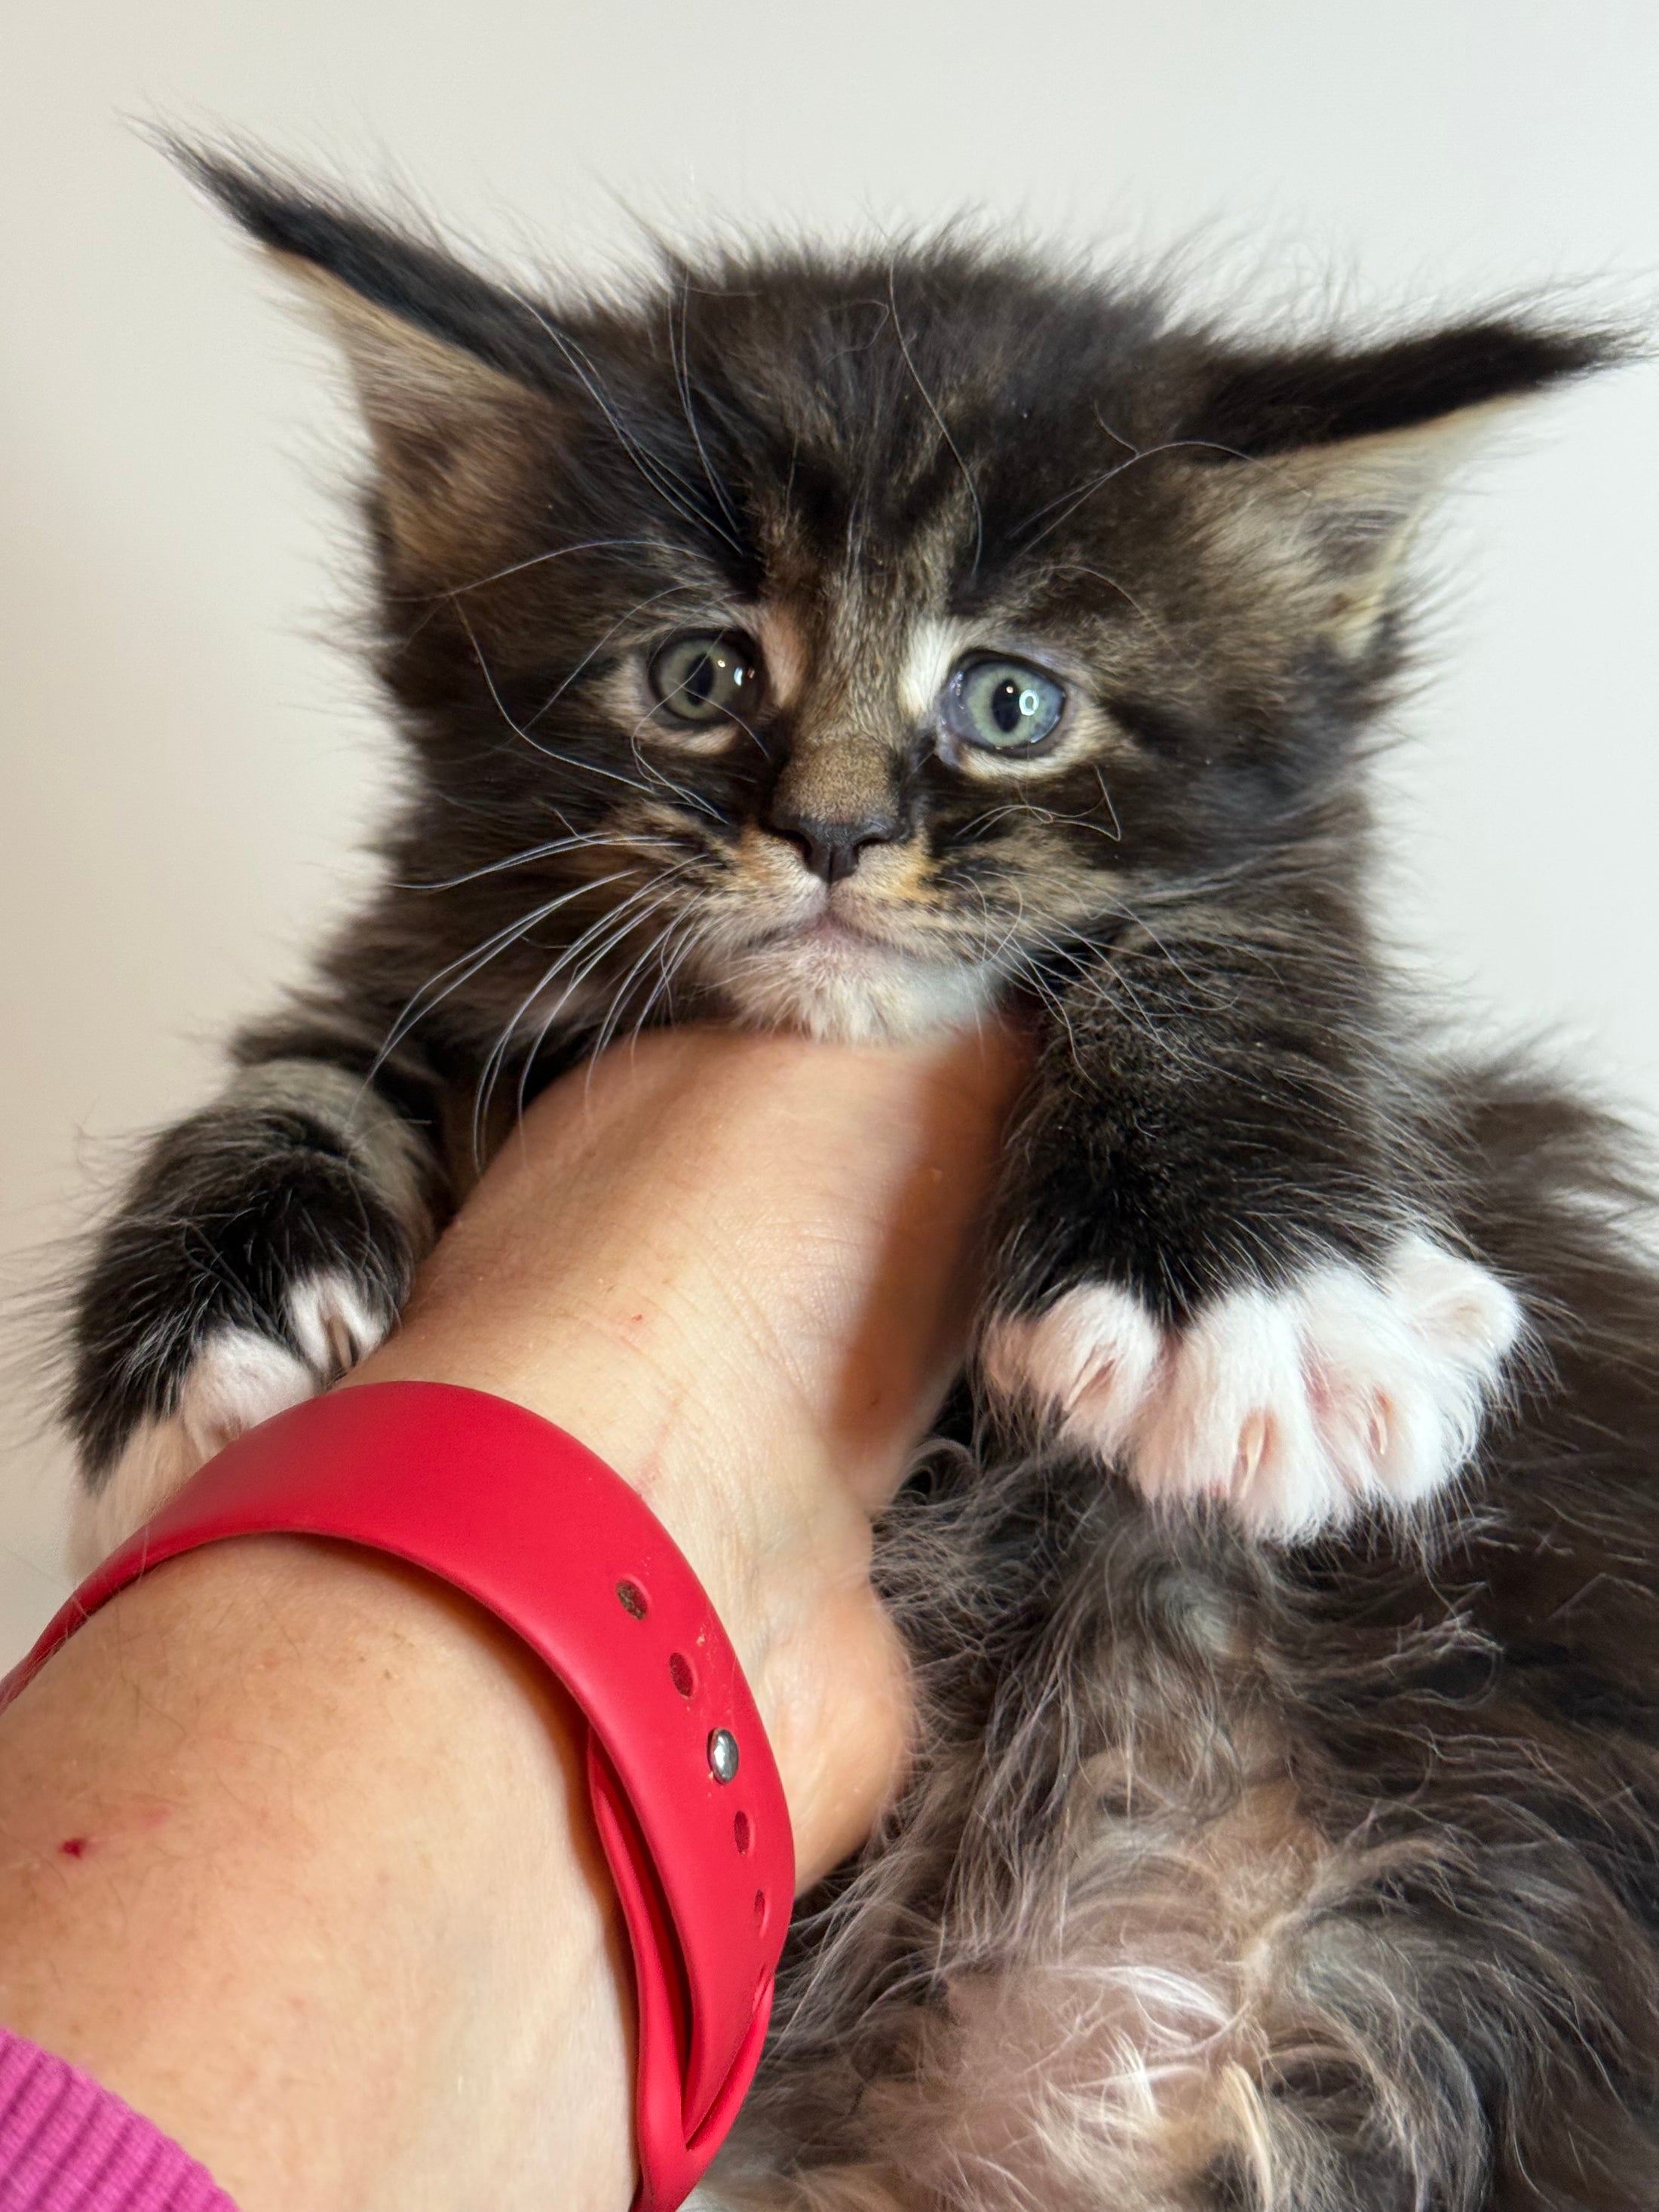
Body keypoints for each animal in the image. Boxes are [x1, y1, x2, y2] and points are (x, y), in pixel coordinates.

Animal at [61, 147, 1659, 2203]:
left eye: (1009, 705)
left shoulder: (1278, 893)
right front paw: (215, 1332)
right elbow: (302, 1070)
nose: (829, 831)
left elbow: (1216, 948)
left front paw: (1242, 1302)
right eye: (696, 671)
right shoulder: (435, 952)